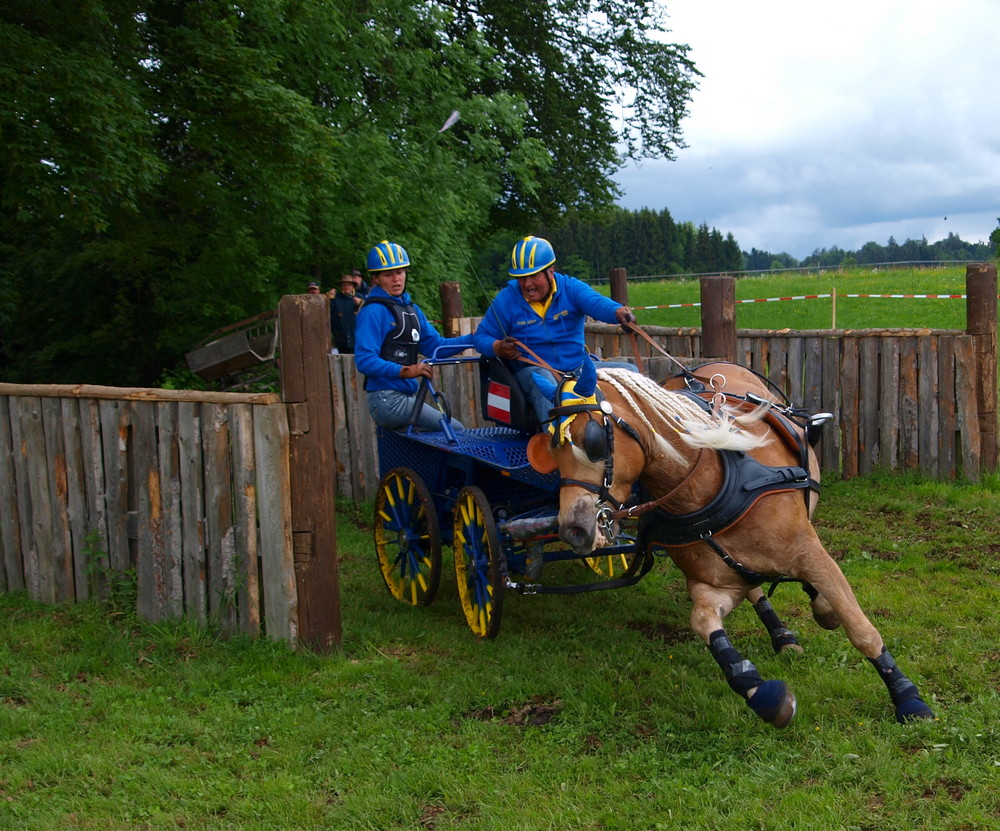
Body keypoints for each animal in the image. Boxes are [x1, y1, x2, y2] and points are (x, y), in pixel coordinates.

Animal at [536, 360, 932, 728]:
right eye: (549, 449)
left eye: (591, 439)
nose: (573, 529)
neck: (705, 483)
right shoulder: (712, 584)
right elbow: (703, 623)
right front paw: (758, 690)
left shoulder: (810, 553)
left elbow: (860, 629)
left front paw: (908, 699)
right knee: (755, 587)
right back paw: (781, 634)